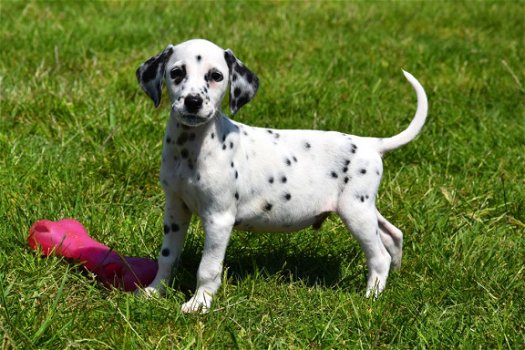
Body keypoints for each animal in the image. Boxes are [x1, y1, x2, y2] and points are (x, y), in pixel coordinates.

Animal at [134, 39, 426, 314]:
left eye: (216, 76)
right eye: (176, 73)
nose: (193, 102)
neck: (191, 147)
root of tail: (370, 144)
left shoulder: (219, 218)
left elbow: (208, 267)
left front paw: (199, 304)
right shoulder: (175, 210)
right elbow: (167, 257)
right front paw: (154, 291)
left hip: (356, 212)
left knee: (379, 256)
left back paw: (371, 297)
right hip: (363, 207)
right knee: (393, 234)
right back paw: (395, 276)